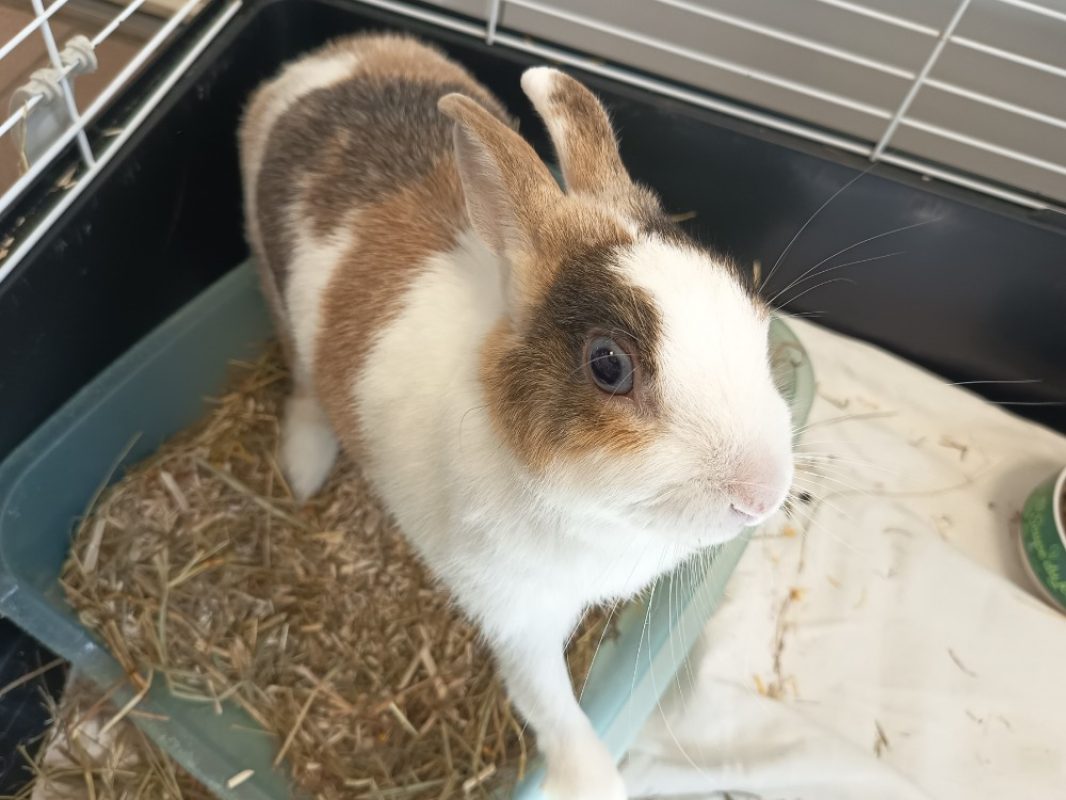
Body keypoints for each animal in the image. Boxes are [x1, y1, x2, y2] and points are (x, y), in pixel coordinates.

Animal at [239, 33, 794, 800]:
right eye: (608, 365)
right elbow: (551, 706)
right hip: (271, 285)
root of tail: (328, 57)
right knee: (301, 382)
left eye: (746, 300)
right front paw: (594, 783)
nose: (762, 495)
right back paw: (302, 466)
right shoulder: (517, 619)